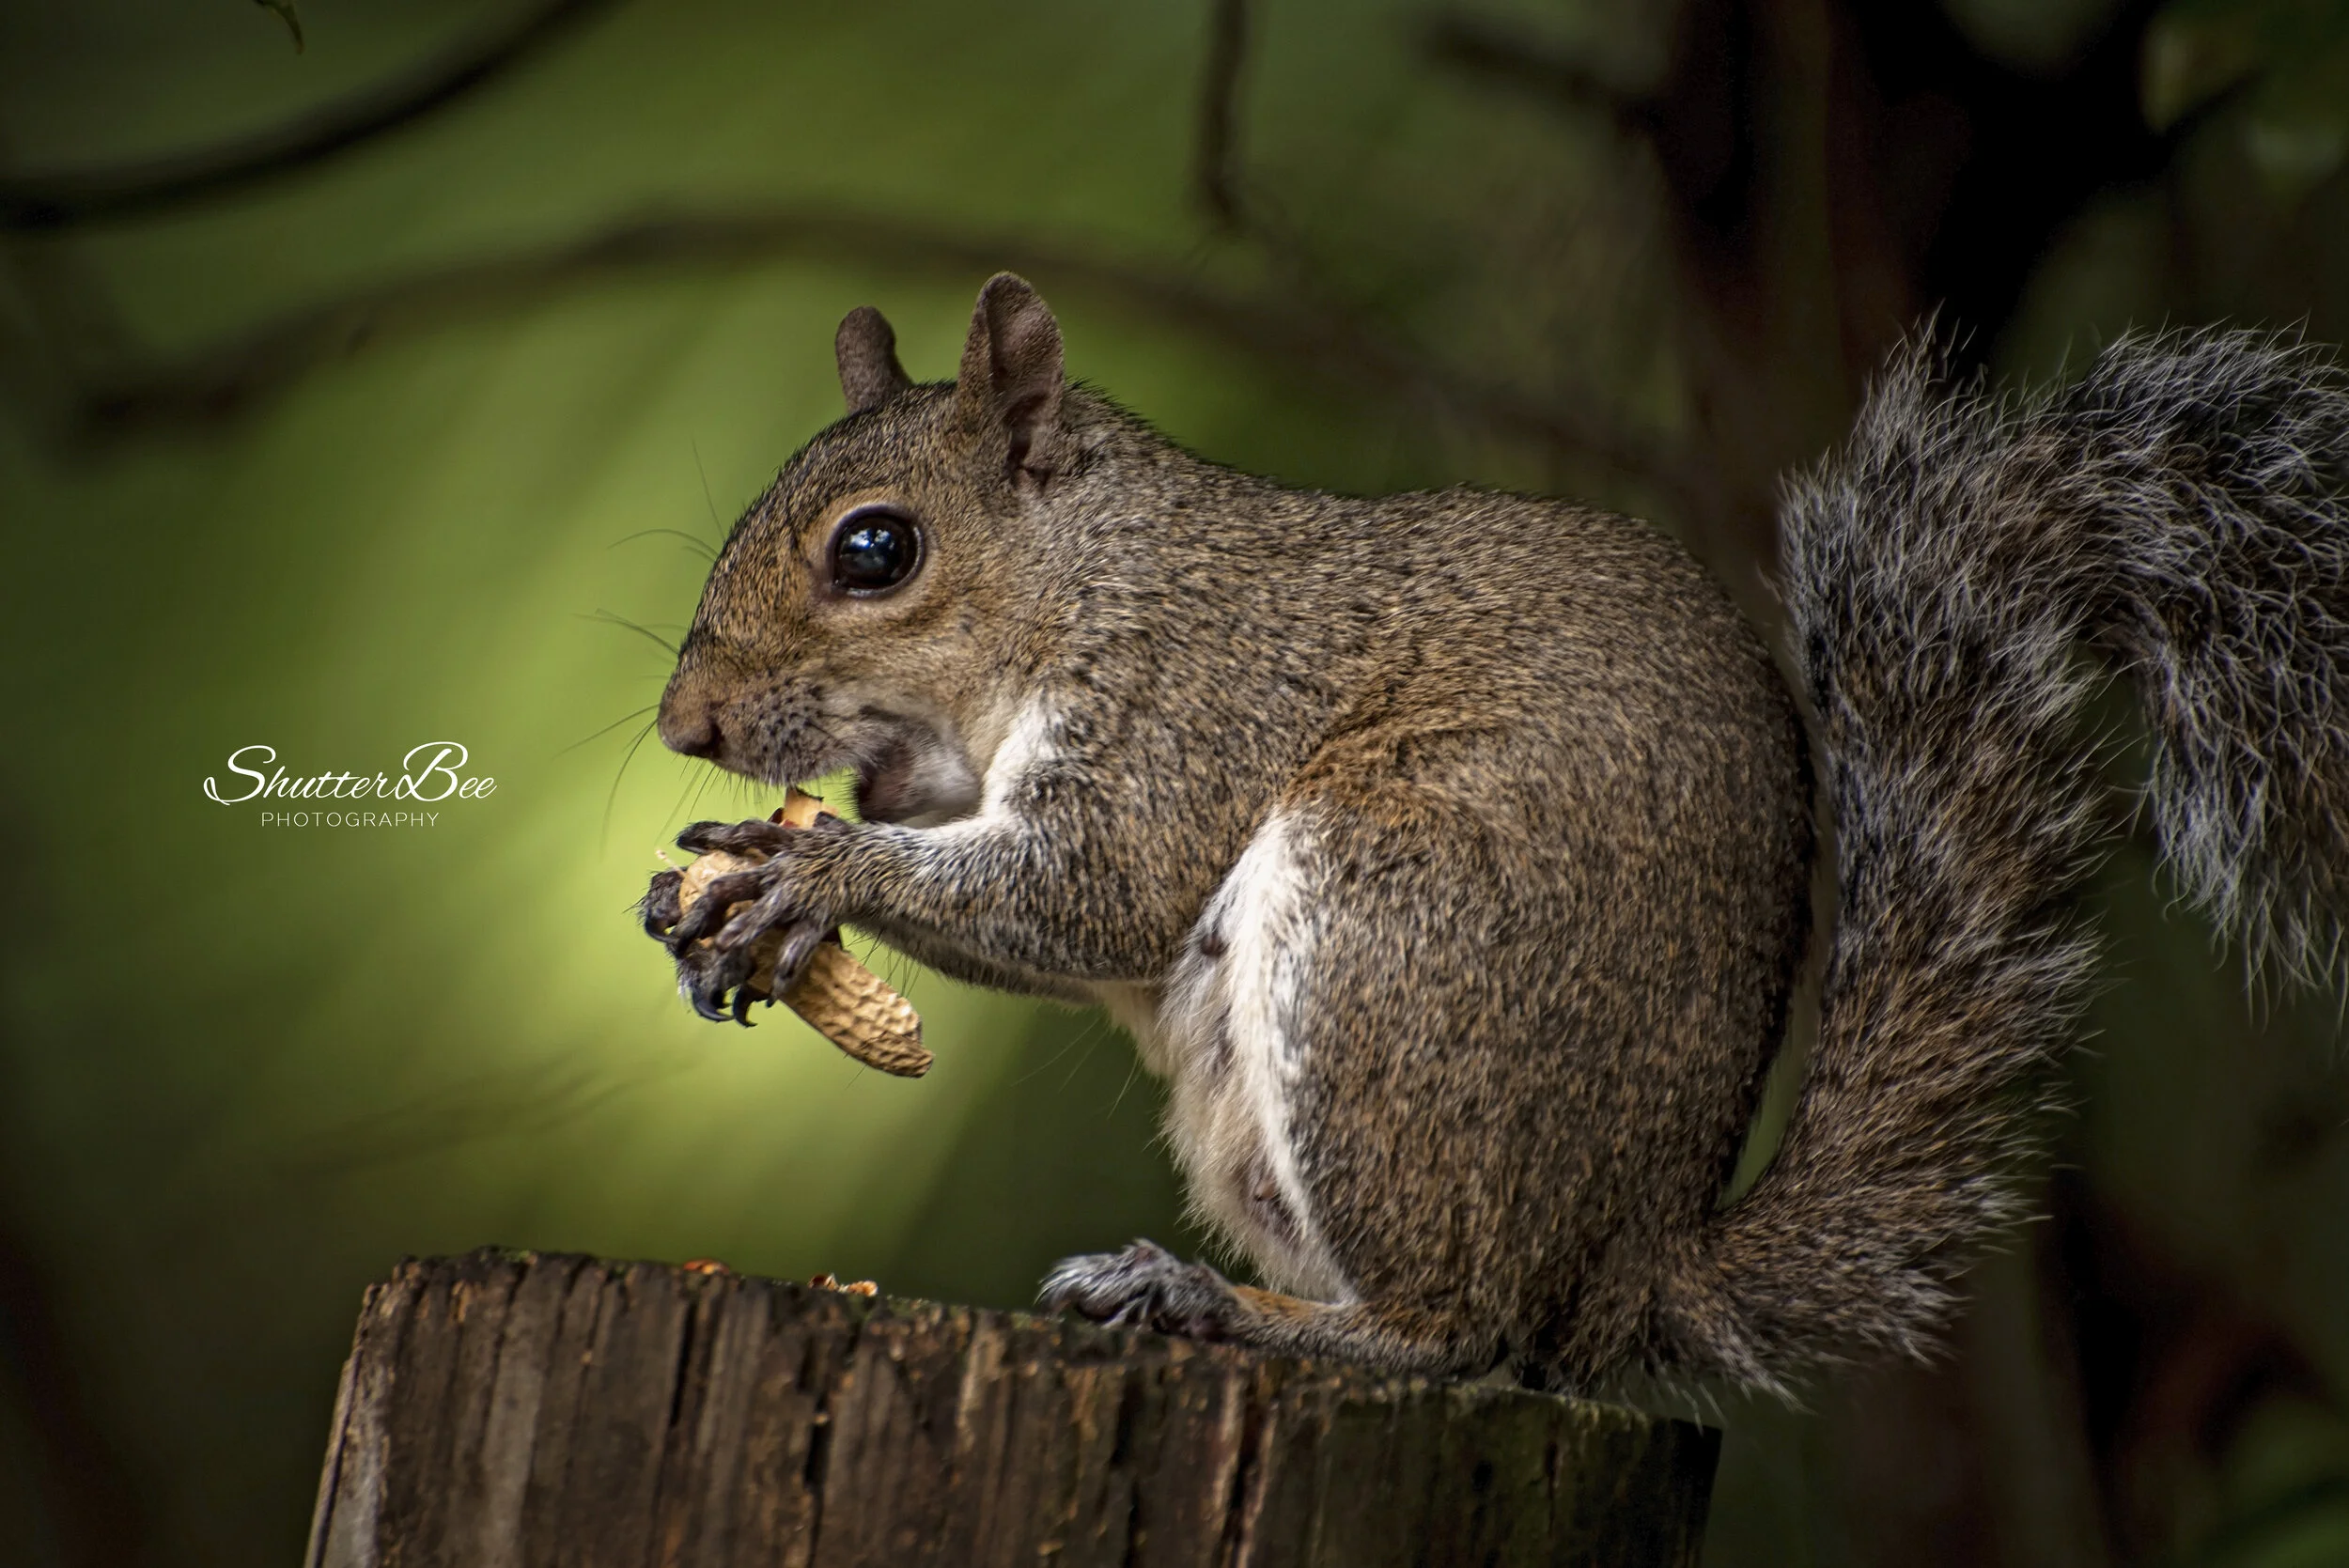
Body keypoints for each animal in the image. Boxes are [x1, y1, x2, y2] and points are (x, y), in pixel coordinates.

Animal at [638, 272, 2349, 1395]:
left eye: (877, 550)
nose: (684, 722)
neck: (1096, 577)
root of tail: (1631, 1264)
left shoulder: (1192, 701)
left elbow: (1093, 888)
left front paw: (801, 872)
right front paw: (714, 892)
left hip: (1393, 931)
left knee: (1468, 1333)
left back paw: (1221, 1305)